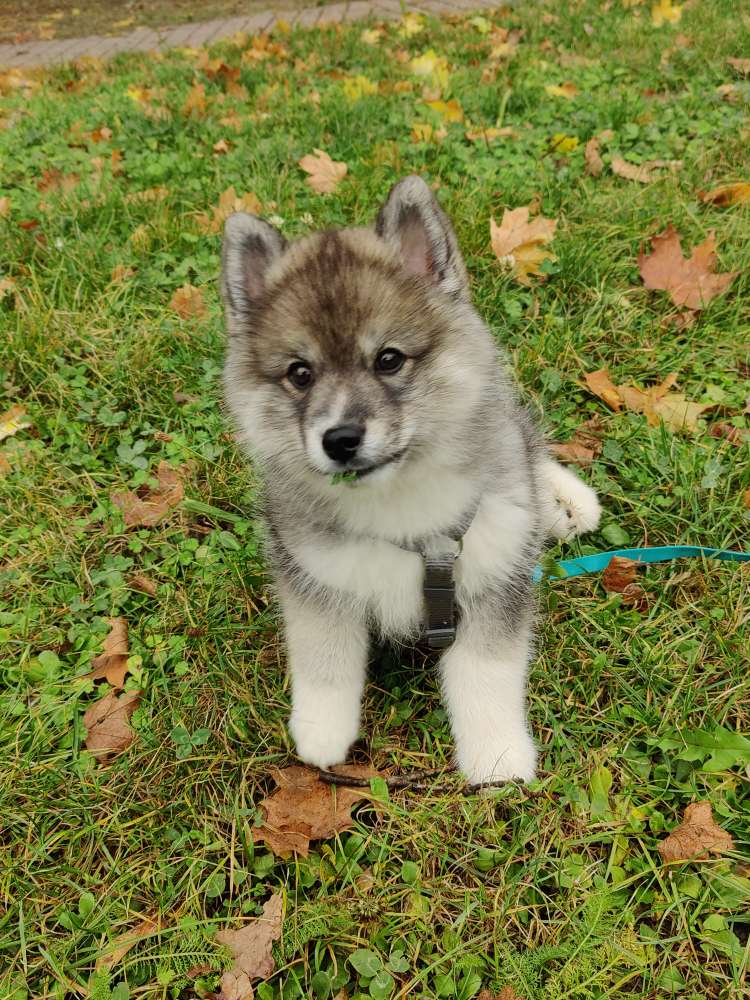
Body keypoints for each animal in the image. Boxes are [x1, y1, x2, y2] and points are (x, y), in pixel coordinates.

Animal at [220, 176, 604, 784]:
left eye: (389, 359)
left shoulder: (495, 577)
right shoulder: (316, 579)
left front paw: (496, 755)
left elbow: (486, 672)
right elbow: (324, 658)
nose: (340, 439)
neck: (396, 503)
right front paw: (322, 730)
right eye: (300, 374)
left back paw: (564, 500)